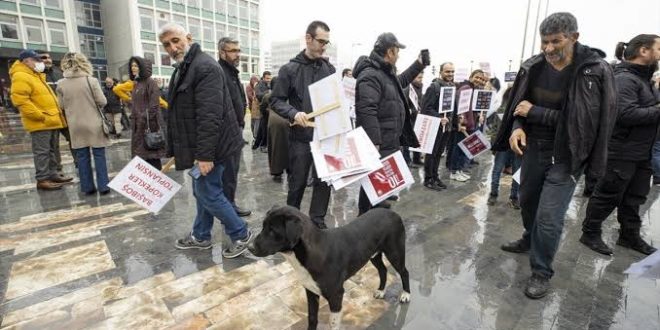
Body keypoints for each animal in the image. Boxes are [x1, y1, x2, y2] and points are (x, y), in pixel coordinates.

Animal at [250, 206, 410, 328]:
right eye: (263, 226)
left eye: (273, 231)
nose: (249, 247)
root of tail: (392, 212)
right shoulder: (311, 291)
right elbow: (312, 318)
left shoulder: (336, 295)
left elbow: (333, 323)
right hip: (373, 255)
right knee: (383, 269)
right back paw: (381, 291)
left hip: (395, 252)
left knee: (404, 272)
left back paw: (406, 295)